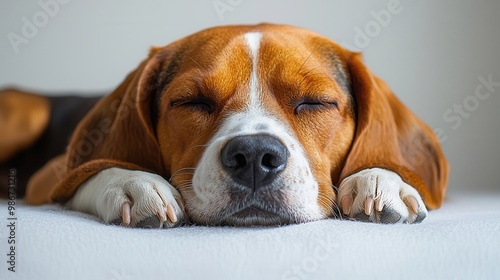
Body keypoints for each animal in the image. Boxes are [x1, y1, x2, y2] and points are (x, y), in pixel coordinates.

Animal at [2, 23, 450, 228]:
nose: (254, 156)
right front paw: (132, 182)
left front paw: (381, 178)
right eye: (193, 101)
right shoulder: (48, 178)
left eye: (314, 102)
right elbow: (96, 171)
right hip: (26, 113)